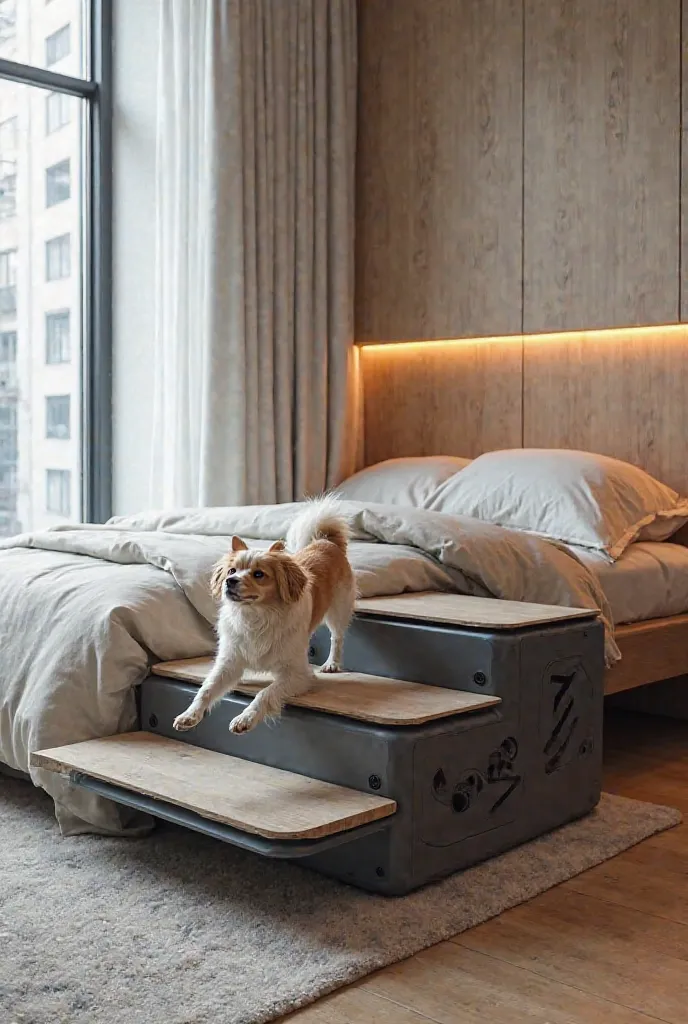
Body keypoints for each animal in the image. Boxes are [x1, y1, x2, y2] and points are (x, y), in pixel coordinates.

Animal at [172, 497, 358, 733]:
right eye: (231, 571)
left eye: (259, 574)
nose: (229, 581)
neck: (254, 617)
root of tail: (326, 542)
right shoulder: (228, 662)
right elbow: (207, 689)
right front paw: (190, 714)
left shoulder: (299, 675)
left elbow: (265, 693)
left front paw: (246, 718)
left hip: (338, 611)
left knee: (337, 637)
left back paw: (332, 663)